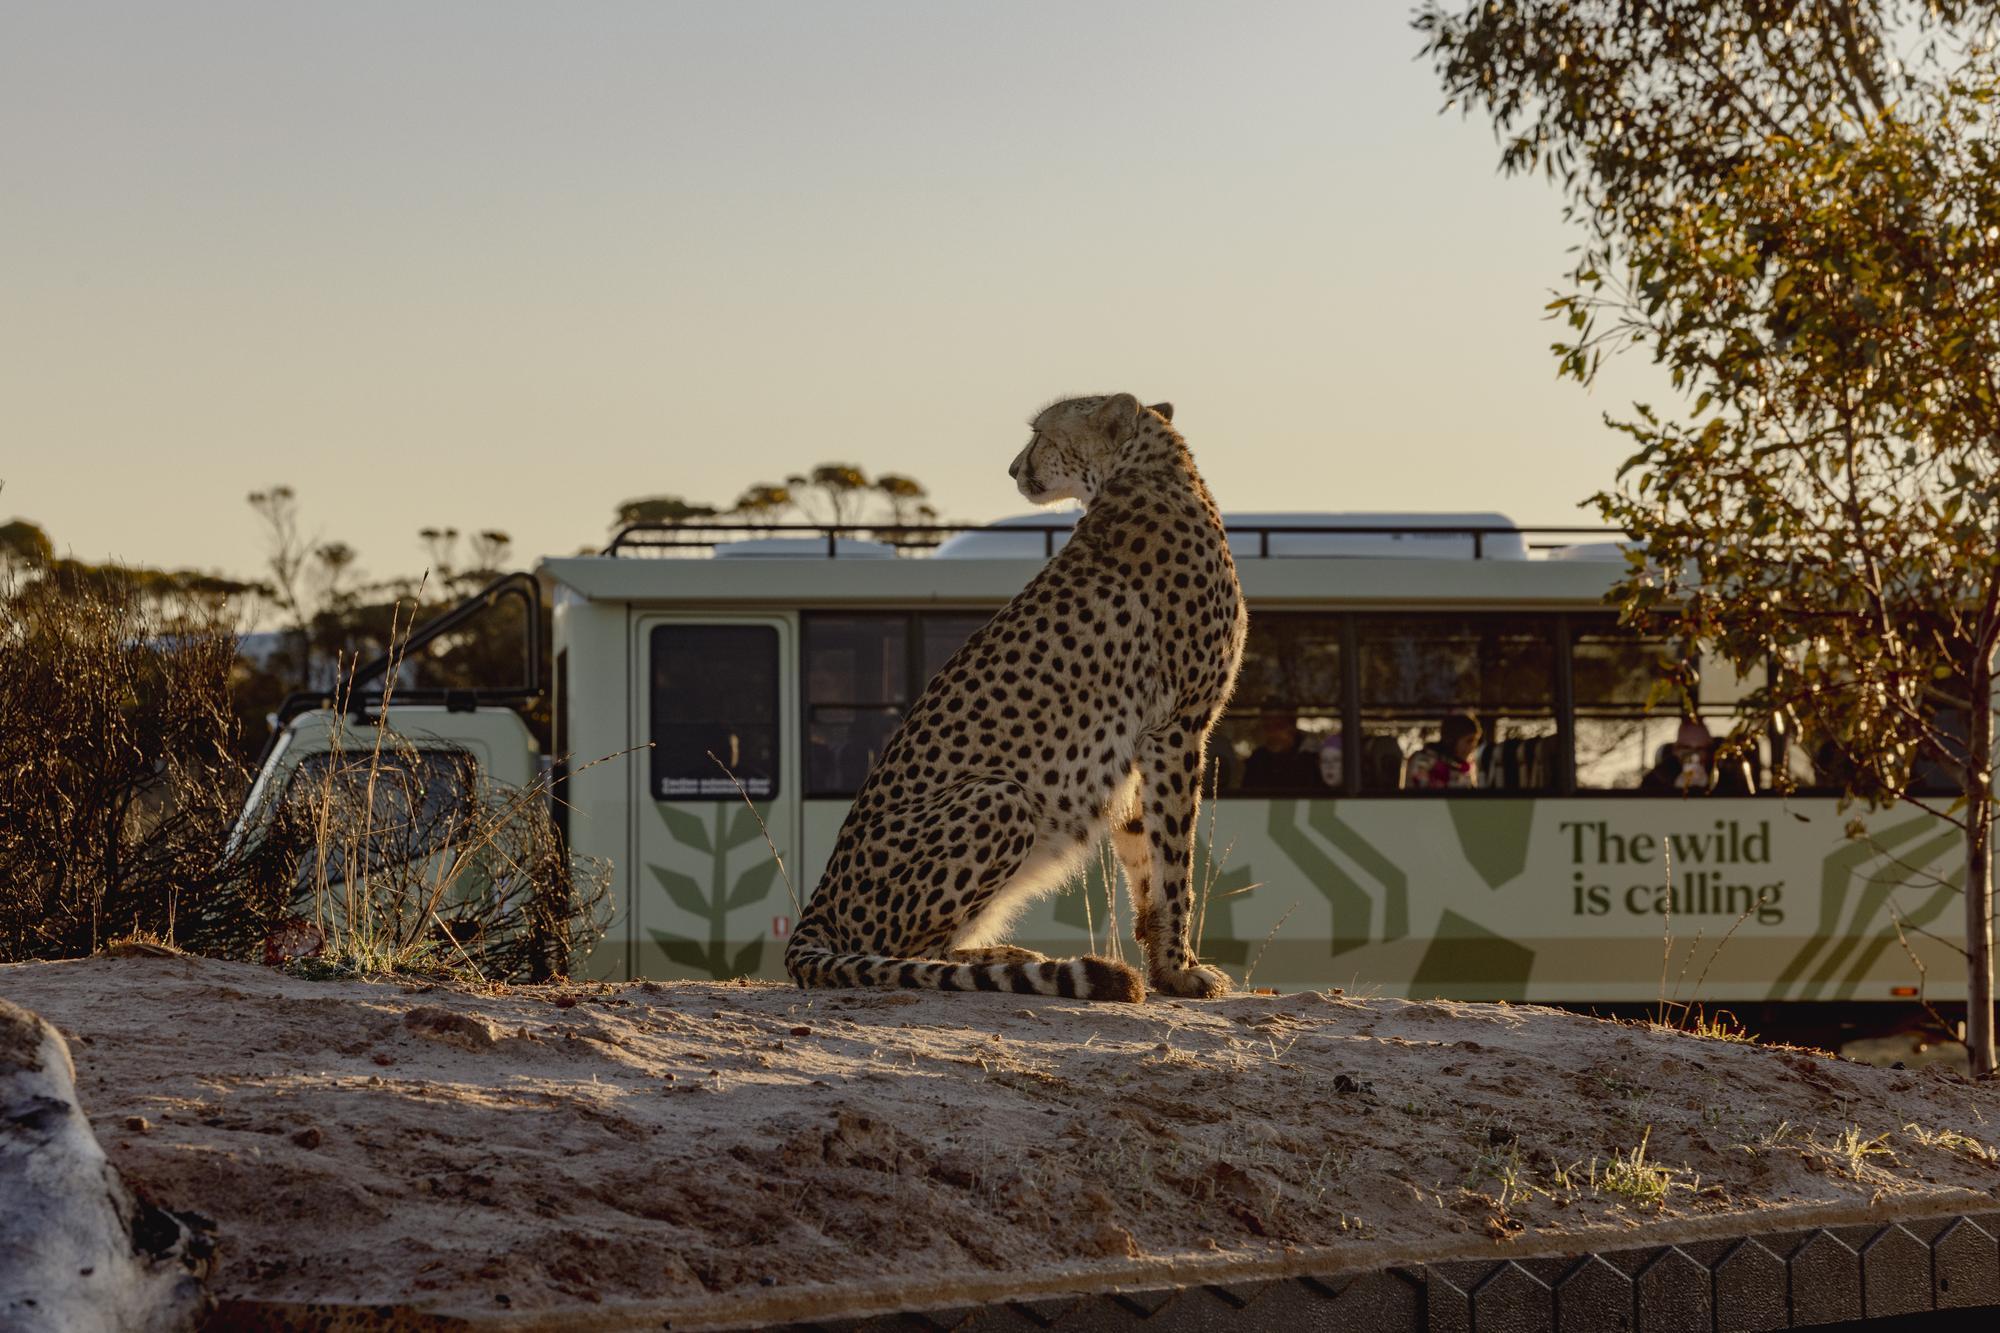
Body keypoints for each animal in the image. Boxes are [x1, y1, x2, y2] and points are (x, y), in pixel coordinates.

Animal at [784, 393, 1246, 1002]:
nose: (1011, 470)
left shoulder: (1145, 743)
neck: (1149, 471)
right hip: (1001, 797)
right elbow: (1174, 864)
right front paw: (1181, 967)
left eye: (1041, 435)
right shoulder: (1177, 727)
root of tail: (817, 902)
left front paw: (1166, 968)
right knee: (906, 952)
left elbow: (1148, 863)